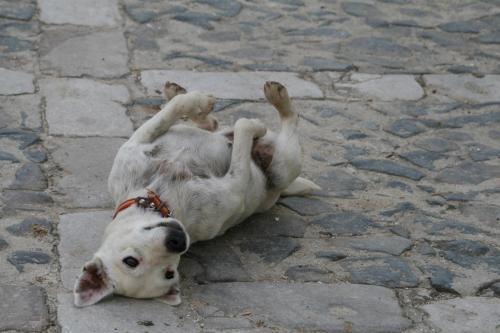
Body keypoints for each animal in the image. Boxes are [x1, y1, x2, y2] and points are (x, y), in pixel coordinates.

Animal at [72, 80, 318, 306]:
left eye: (129, 260)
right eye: (169, 272)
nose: (178, 241)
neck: (161, 198)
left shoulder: (135, 145)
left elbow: (172, 110)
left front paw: (194, 101)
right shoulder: (235, 185)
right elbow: (242, 138)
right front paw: (250, 125)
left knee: (210, 124)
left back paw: (187, 97)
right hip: (285, 164)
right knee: (289, 122)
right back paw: (276, 101)